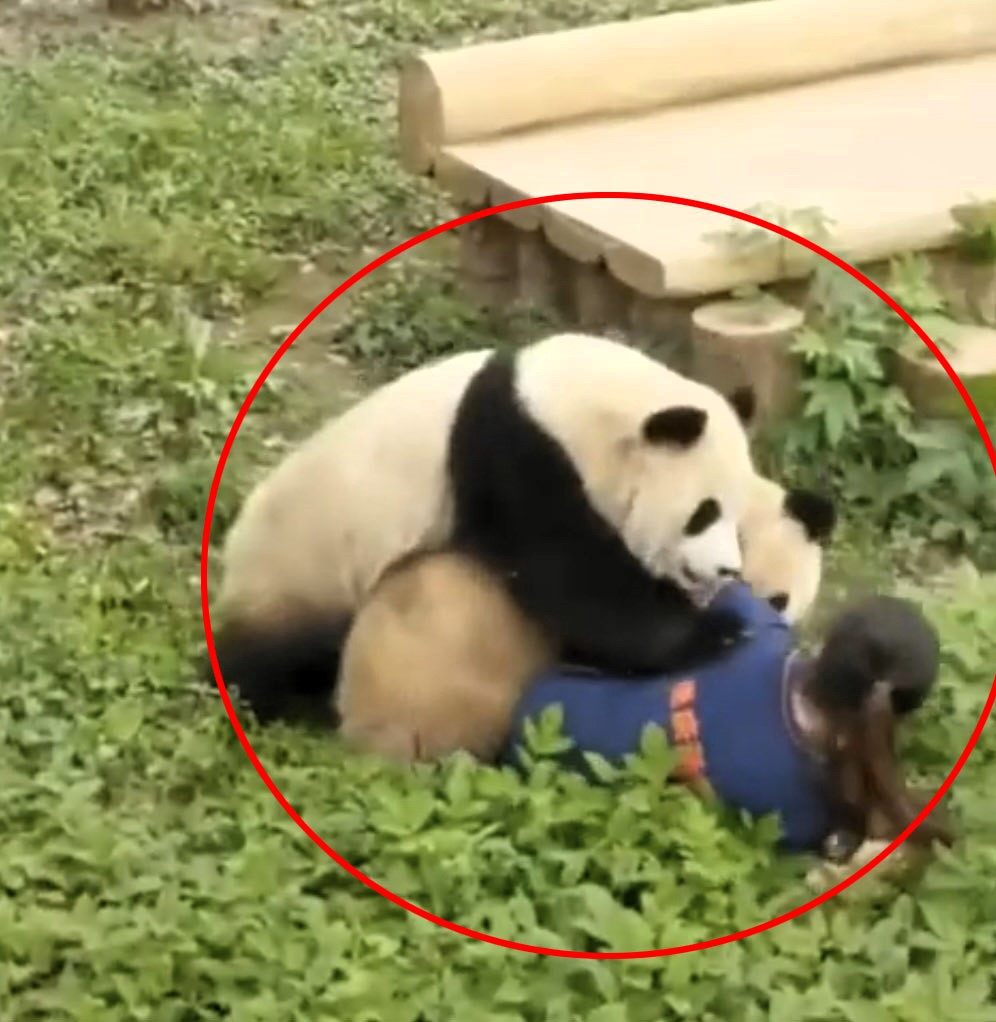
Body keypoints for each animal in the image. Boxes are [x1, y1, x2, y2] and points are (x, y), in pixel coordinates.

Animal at [210, 333, 755, 727]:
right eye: (703, 513)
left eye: (737, 516)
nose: (728, 569)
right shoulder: (516, 454)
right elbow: (574, 582)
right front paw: (720, 631)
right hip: (303, 565)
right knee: (266, 655)